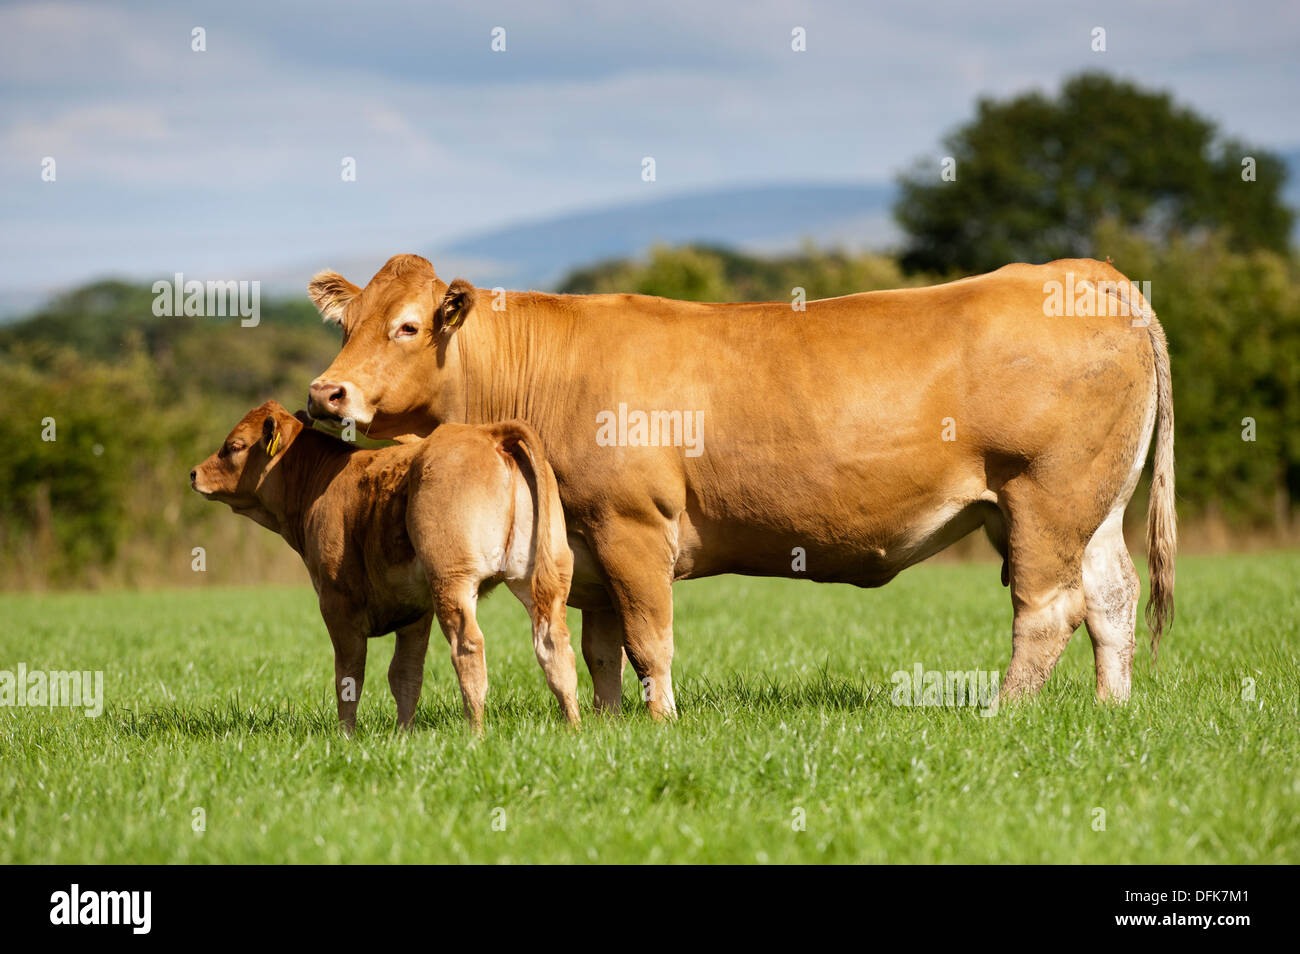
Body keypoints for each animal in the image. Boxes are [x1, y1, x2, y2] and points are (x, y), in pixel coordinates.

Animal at [189, 400, 579, 738]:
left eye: (234, 446)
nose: (194, 473)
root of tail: (487, 434)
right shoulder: (415, 612)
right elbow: (405, 675)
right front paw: (404, 734)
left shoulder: (337, 604)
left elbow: (349, 676)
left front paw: (346, 737)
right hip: (544, 578)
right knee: (554, 645)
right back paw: (573, 726)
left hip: (452, 581)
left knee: (469, 648)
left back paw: (477, 734)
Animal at [306, 254, 1180, 717]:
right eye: (347, 326)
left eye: (407, 326)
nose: (326, 392)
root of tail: (1083, 273)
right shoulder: (586, 543)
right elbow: (601, 648)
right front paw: (610, 724)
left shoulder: (632, 526)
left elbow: (649, 639)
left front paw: (660, 722)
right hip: (1091, 506)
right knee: (1111, 597)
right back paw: (1111, 707)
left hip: (1045, 497)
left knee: (1048, 609)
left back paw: (1004, 712)